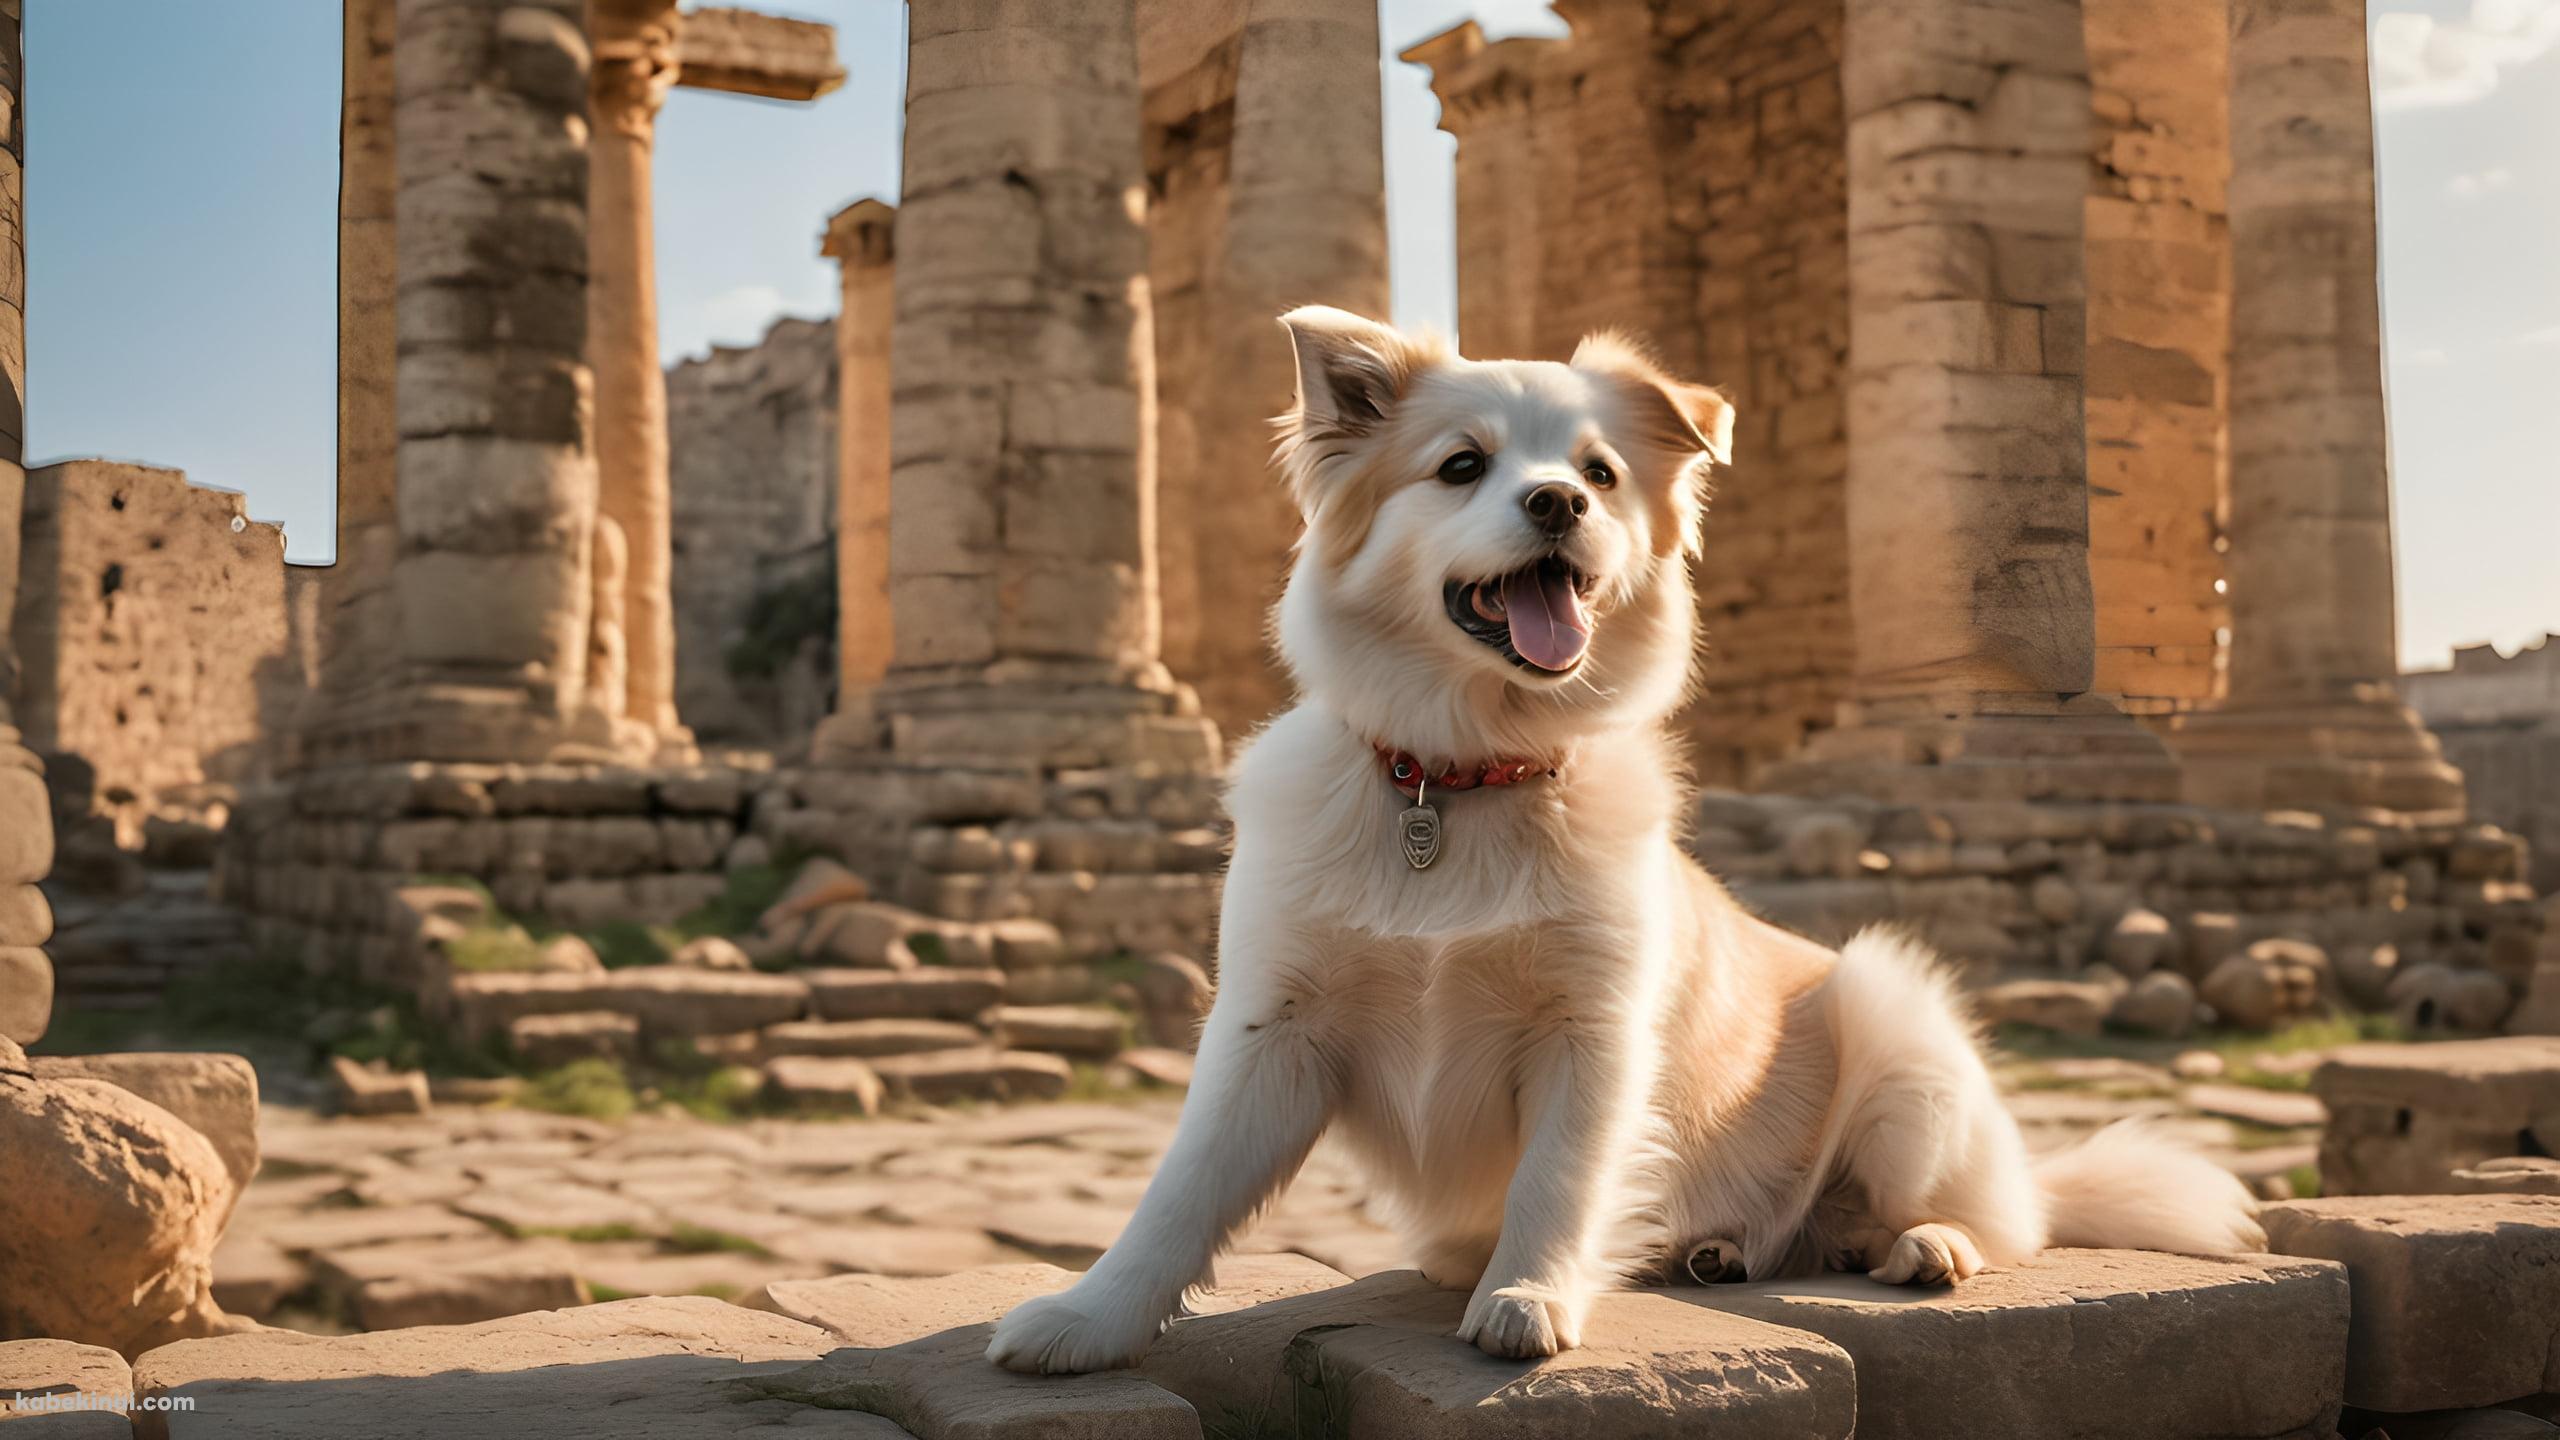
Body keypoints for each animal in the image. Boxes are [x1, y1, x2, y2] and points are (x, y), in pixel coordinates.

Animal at [977, 304, 2263, 1363]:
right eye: (1461, 466)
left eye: (1598, 470)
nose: (1559, 502)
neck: (1462, 779)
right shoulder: (1270, 1028)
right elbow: (1179, 1193)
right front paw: (1085, 1320)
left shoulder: (1591, 1029)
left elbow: (1559, 1175)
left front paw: (1529, 1299)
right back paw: (1716, 1251)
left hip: (1893, 1020)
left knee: (1991, 1221)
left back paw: (1914, 1245)